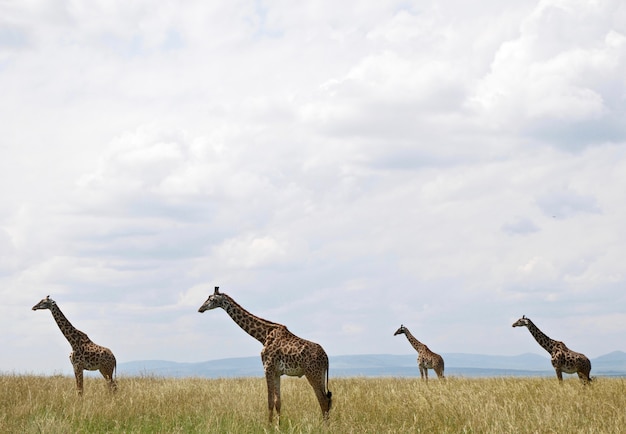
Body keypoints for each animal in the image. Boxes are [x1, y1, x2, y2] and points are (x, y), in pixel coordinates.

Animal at [199, 286, 332, 422]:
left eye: (211, 299)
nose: (200, 309)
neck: (263, 336)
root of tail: (326, 357)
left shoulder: (267, 368)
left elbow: (270, 401)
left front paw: (269, 425)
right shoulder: (277, 372)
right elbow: (278, 402)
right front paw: (278, 425)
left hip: (312, 374)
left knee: (323, 400)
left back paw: (324, 425)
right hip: (320, 374)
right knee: (328, 399)